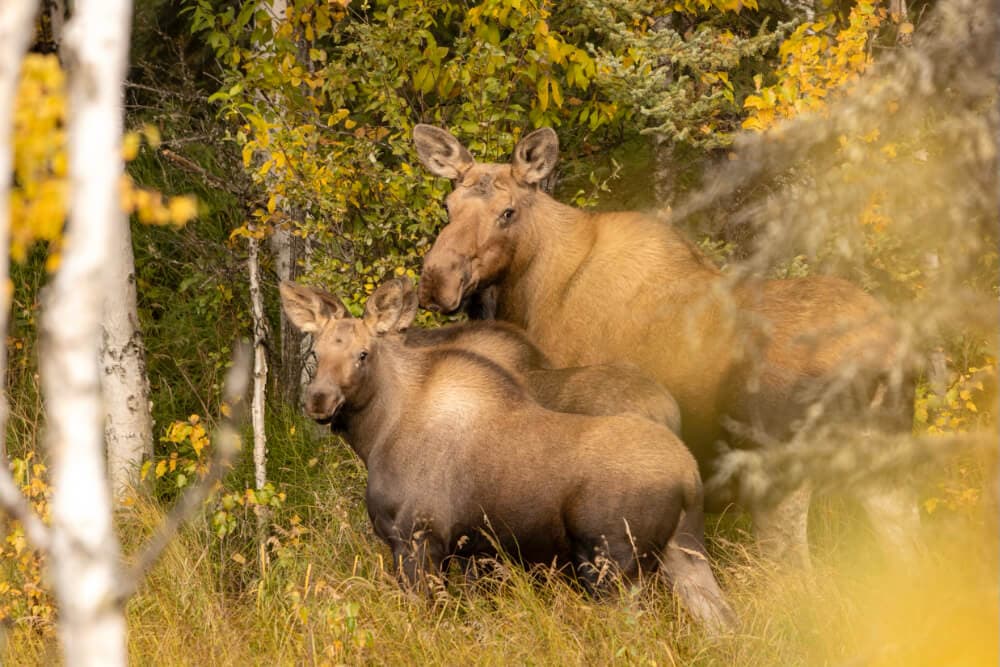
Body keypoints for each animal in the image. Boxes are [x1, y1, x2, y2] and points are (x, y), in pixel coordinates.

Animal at [279, 277, 735, 631]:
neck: (377, 435)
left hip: (612, 563)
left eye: (363, 354)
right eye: (317, 351)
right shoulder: (475, 550)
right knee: (722, 621)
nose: (318, 400)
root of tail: (689, 476)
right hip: (684, 549)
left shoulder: (418, 540)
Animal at [413, 123, 920, 568]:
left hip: (782, 481)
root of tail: (887, 355)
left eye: (508, 212)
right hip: (885, 467)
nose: (437, 281)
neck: (528, 292)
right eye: (448, 205)